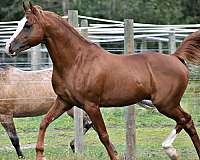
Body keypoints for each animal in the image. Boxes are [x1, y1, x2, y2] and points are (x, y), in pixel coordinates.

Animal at [5, 1, 200, 159]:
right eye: (19, 23)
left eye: (28, 25)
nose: (9, 47)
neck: (76, 61)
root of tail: (175, 57)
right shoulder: (64, 101)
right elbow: (44, 123)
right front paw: (40, 154)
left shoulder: (91, 105)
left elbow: (104, 136)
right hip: (167, 104)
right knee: (186, 121)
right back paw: (173, 151)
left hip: (166, 104)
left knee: (187, 120)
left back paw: (170, 149)